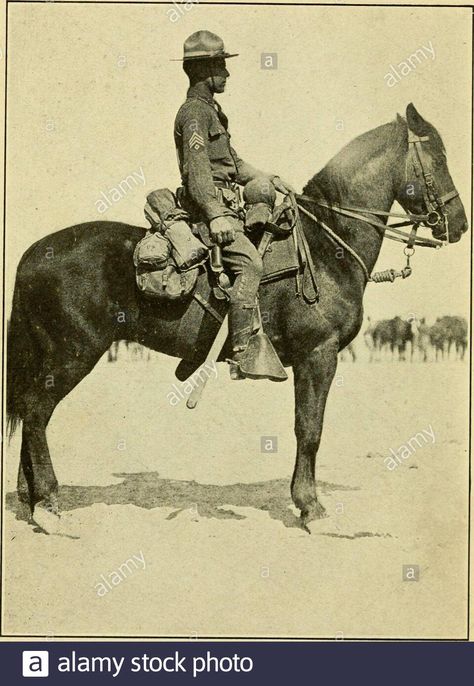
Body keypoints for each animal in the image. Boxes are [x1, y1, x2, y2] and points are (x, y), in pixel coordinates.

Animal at [5, 105, 468, 536]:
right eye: (439, 156)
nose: (460, 224)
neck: (324, 248)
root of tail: (33, 253)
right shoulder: (319, 356)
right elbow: (309, 429)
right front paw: (311, 508)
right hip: (72, 355)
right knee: (37, 414)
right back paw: (49, 507)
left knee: (29, 418)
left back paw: (32, 501)